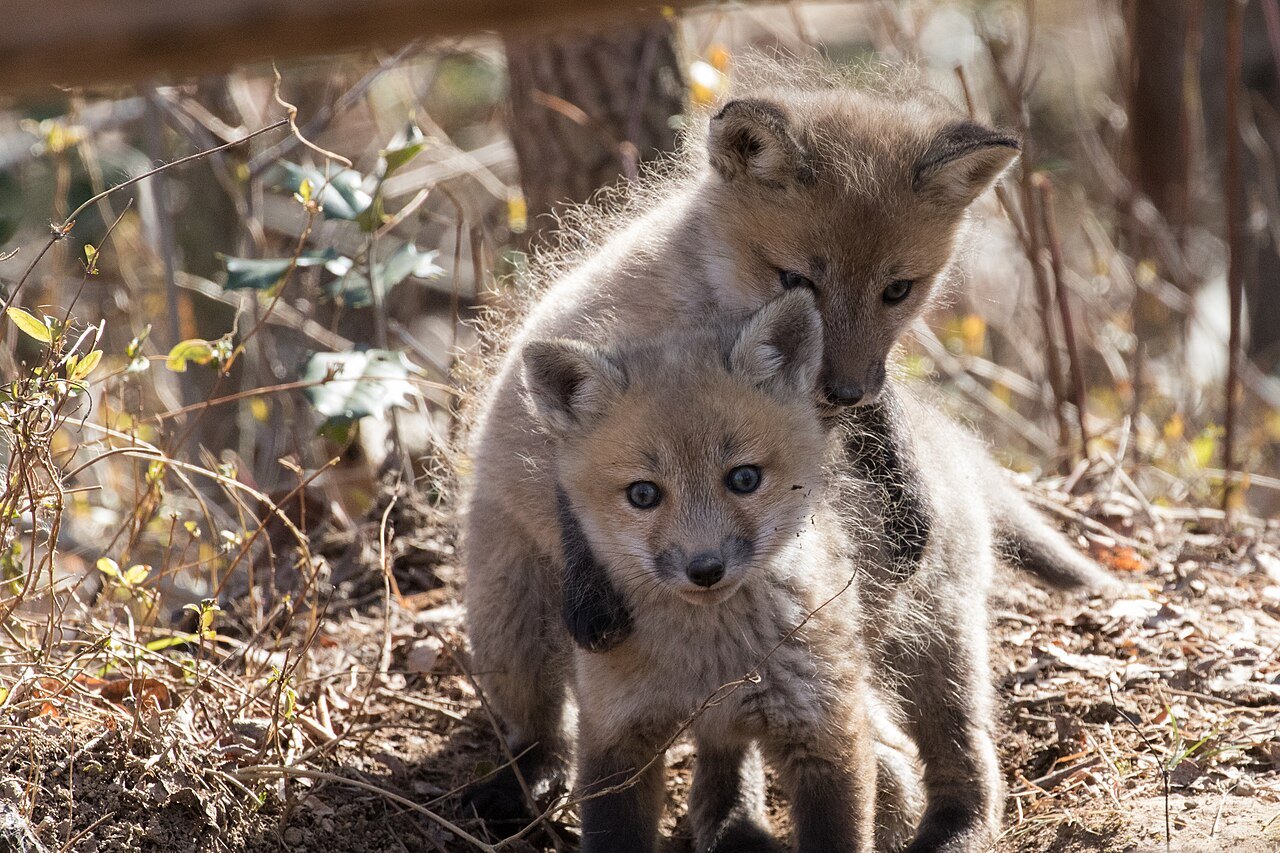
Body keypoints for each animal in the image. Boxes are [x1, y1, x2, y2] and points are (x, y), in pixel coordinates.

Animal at [522, 289, 897, 853]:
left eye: (744, 479)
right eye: (643, 493)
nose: (705, 569)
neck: (711, 665)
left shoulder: (827, 735)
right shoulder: (615, 739)